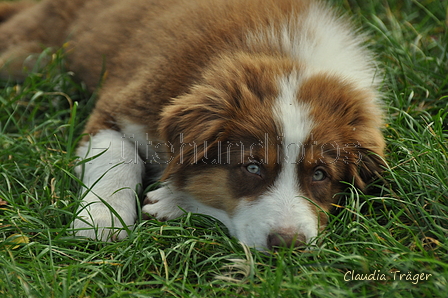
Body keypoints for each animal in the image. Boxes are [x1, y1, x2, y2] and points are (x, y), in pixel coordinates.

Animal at [0, 0, 384, 250]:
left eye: (320, 174)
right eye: (252, 167)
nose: (289, 244)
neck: (281, 60)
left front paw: (173, 200)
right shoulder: (121, 107)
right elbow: (118, 157)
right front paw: (101, 220)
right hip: (33, 53)